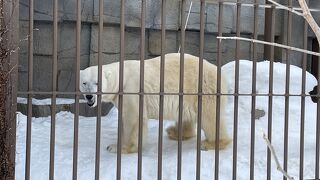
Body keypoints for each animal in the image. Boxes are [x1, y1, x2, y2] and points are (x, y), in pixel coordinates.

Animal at [79, 52, 230, 153]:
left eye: (97, 83)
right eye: (84, 82)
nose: (89, 96)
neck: (122, 76)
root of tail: (220, 73)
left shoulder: (131, 89)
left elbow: (132, 118)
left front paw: (118, 147)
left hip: (203, 88)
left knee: (209, 117)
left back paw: (212, 143)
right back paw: (175, 132)